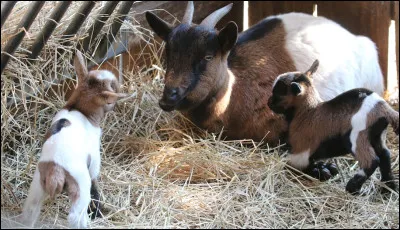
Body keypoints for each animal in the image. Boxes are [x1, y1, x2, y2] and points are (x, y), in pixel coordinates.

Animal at [20, 50, 126, 228]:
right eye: (113, 86)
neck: (78, 108)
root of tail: (55, 169)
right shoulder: (94, 161)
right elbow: (95, 187)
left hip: (37, 185)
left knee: (30, 212)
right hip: (80, 186)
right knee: (76, 216)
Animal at [268, 59, 398, 194]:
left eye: (279, 92)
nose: (269, 103)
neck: (308, 113)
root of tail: (384, 109)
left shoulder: (302, 149)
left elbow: (296, 164)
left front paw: (318, 171)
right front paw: (323, 169)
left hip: (357, 137)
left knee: (372, 160)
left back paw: (352, 188)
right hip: (377, 136)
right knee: (385, 155)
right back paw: (388, 187)